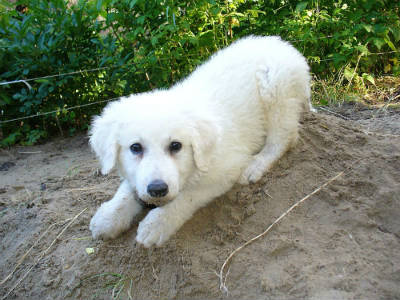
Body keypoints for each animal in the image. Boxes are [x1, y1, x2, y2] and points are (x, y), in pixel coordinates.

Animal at [89, 35, 310, 247]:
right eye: (135, 148)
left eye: (176, 146)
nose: (157, 190)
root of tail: (282, 44)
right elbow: (128, 189)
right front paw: (108, 217)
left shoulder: (226, 170)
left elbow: (187, 196)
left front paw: (157, 224)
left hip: (276, 89)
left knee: (284, 138)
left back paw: (255, 166)